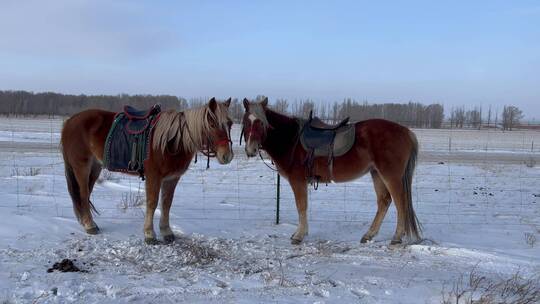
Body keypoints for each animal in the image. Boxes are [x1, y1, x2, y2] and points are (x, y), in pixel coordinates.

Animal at [61, 98, 234, 245]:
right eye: (212, 124)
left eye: (230, 124)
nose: (227, 156)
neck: (172, 141)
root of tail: (70, 121)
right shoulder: (154, 176)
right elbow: (152, 203)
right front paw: (149, 234)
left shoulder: (172, 178)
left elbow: (166, 203)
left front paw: (166, 232)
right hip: (81, 167)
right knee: (83, 194)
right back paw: (89, 225)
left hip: (95, 167)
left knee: (86, 193)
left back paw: (87, 222)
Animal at [242, 98, 422, 246]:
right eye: (246, 122)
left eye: (261, 123)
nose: (251, 150)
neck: (291, 139)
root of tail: (406, 131)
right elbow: (302, 206)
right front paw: (300, 233)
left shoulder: (298, 181)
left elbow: (301, 206)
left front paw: (299, 236)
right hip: (376, 173)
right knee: (384, 201)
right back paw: (369, 235)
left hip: (391, 176)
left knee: (400, 202)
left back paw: (396, 237)